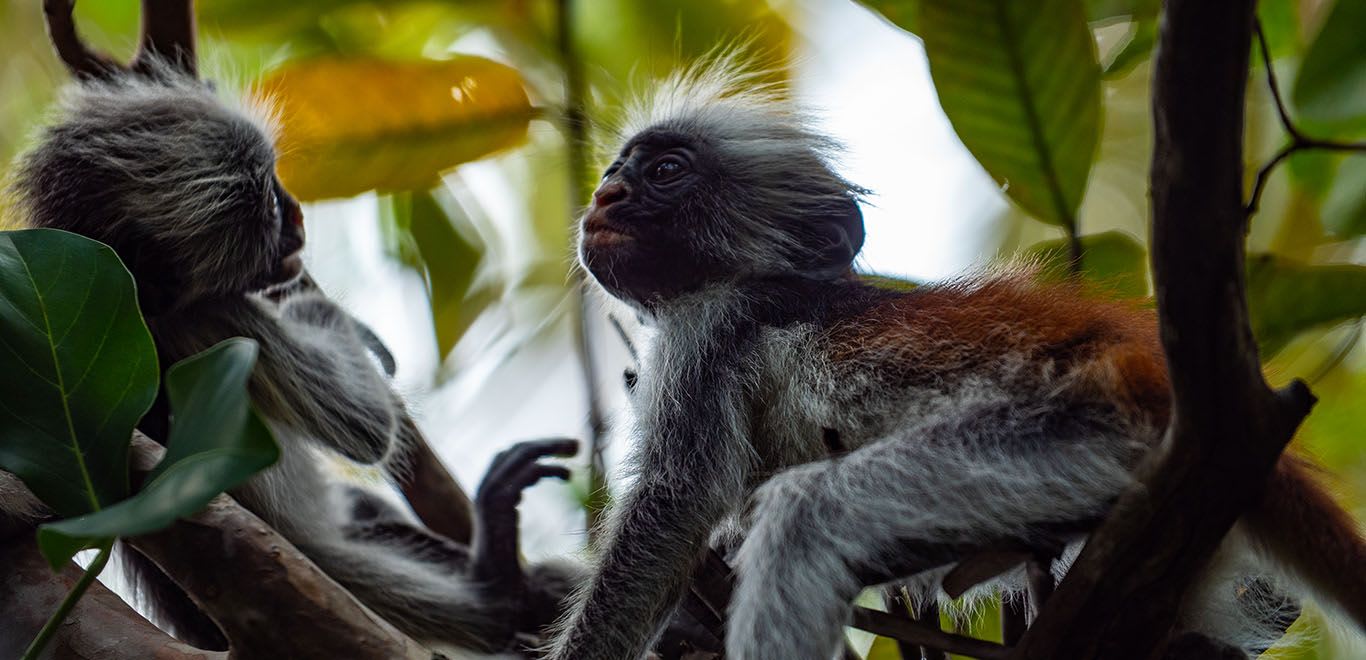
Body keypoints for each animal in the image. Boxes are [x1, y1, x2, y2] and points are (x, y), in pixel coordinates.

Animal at [540, 58, 1366, 660]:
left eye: (664, 172)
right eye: (618, 169)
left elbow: (672, 508)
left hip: (1071, 432)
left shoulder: (708, 333)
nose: (607, 194)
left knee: (807, 516)